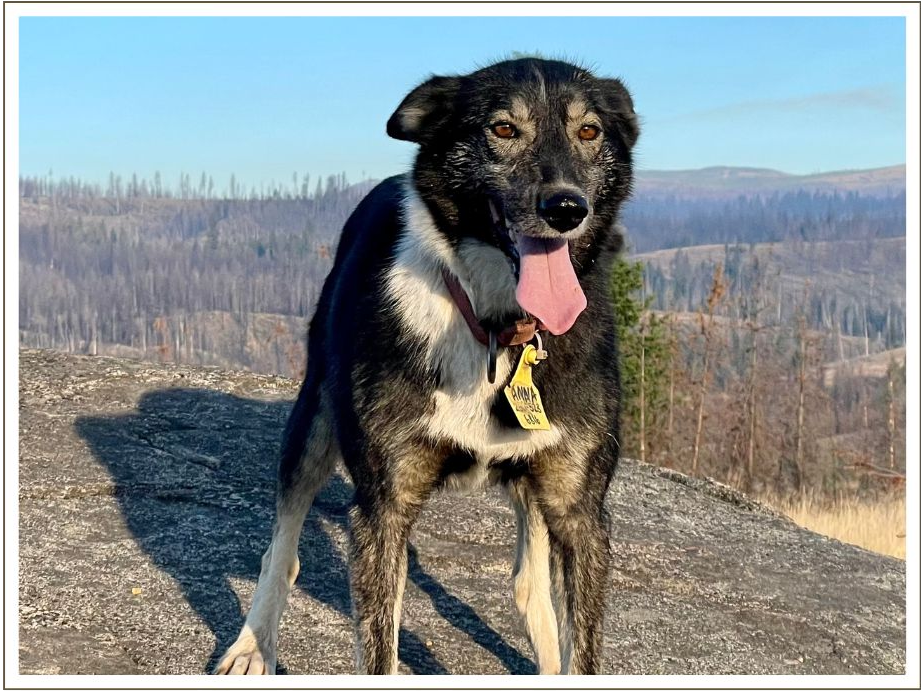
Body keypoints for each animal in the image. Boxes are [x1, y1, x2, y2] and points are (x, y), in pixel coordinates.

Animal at [212, 56, 636, 672]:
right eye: (503, 129)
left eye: (589, 131)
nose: (565, 208)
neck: (494, 326)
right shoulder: (383, 509)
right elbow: (379, 647)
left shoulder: (580, 514)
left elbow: (578, 643)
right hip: (315, 417)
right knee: (284, 543)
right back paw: (252, 645)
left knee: (529, 584)